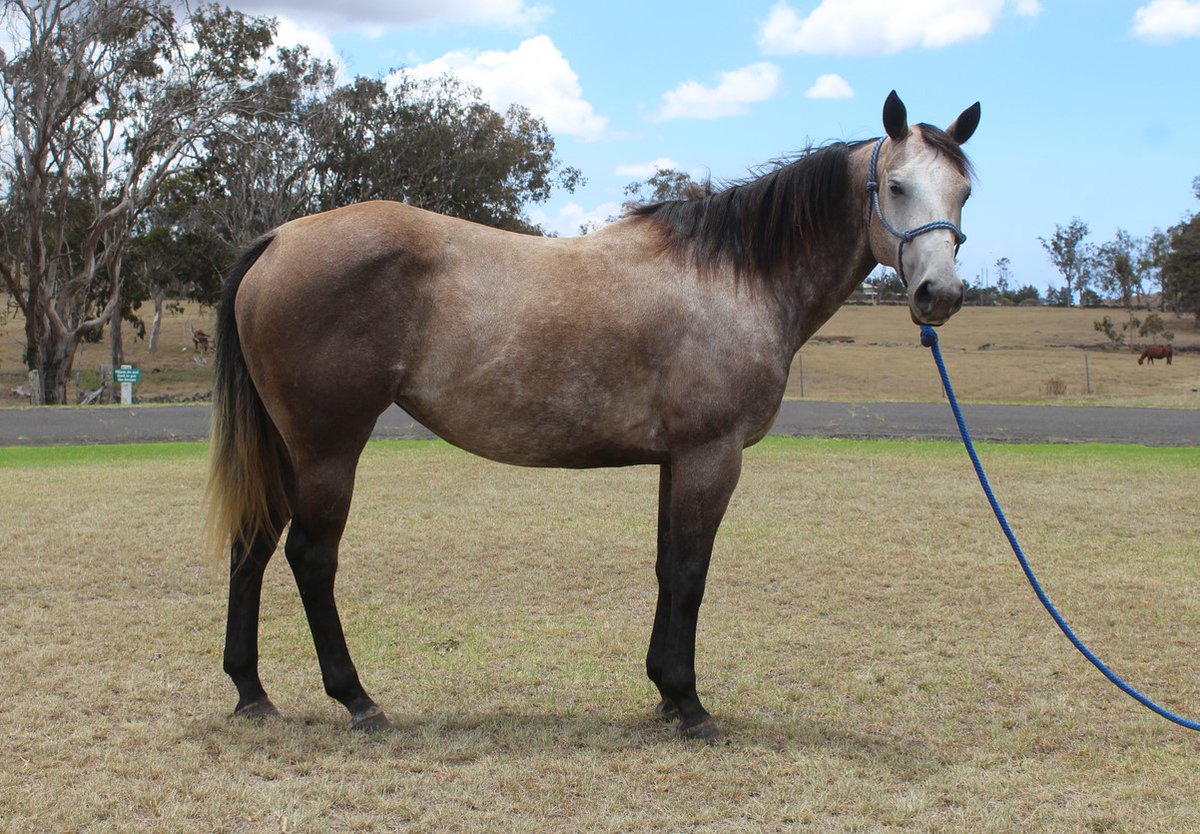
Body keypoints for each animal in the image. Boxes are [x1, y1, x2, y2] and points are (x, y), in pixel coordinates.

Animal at [205, 91, 980, 740]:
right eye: (895, 186)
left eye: (965, 191)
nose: (939, 295)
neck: (735, 277)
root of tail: (278, 239)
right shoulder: (712, 456)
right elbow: (691, 573)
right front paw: (690, 704)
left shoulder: (678, 460)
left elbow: (668, 567)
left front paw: (665, 691)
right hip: (328, 449)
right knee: (311, 558)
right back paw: (357, 699)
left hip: (288, 451)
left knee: (253, 545)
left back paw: (252, 692)